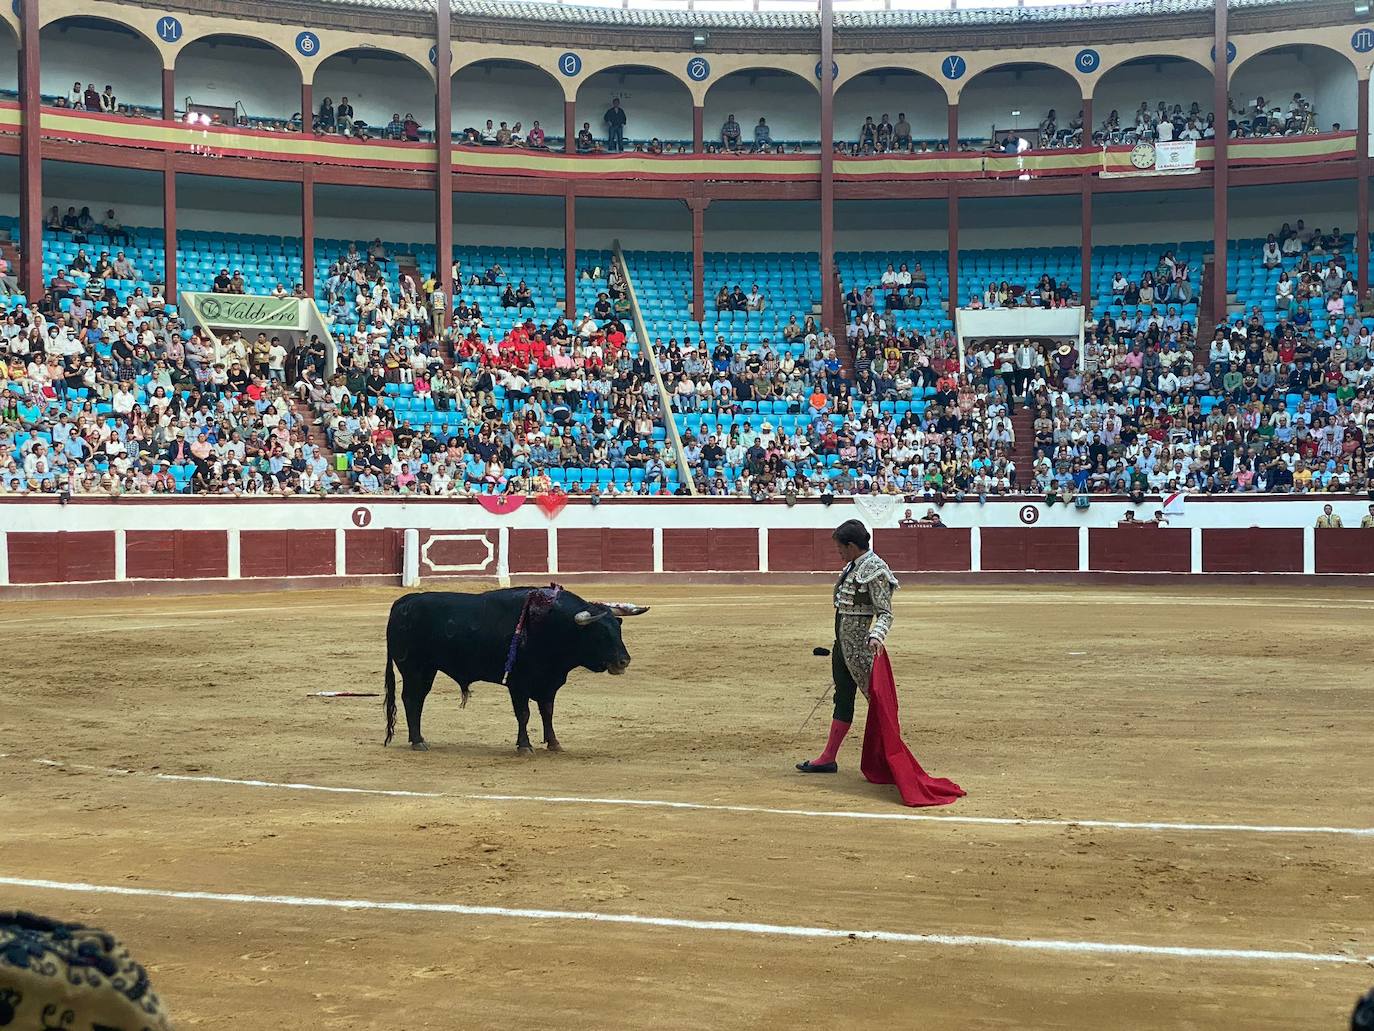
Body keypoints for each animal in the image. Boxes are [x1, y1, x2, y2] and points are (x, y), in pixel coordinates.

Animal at [381, 588, 648, 758]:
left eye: (618, 630)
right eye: (600, 634)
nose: (624, 661)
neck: (552, 625)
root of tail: (404, 602)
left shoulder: (549, 682)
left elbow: (547, 711)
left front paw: (554, 743)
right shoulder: (518, 684)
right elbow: (524, 714)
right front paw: (524, 746)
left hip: (427, 670)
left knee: (417, 700)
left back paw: (418, 739)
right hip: (414, 668)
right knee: (412, 699)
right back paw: (418, 741)